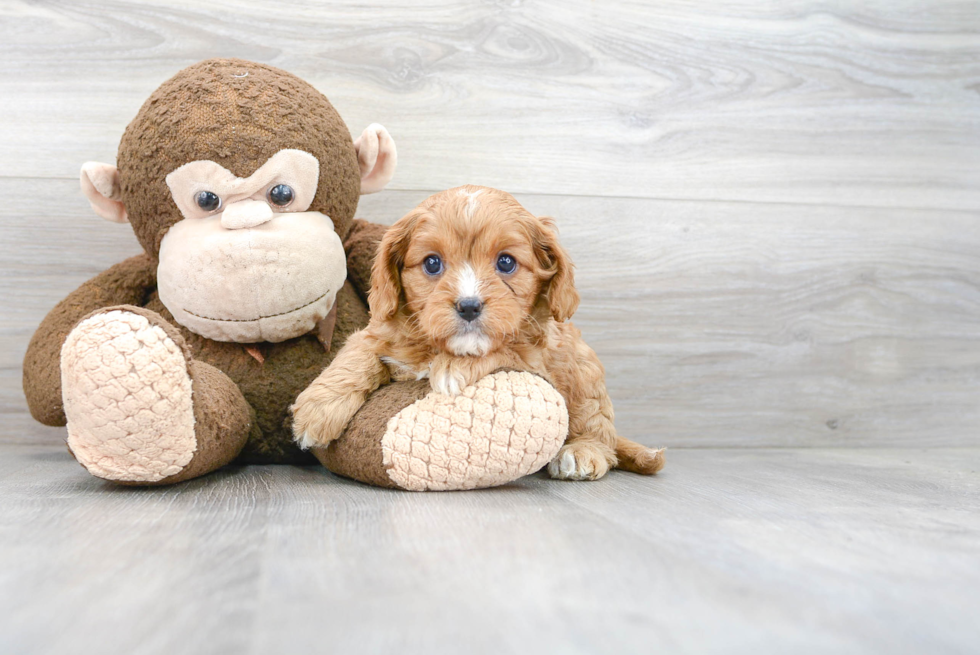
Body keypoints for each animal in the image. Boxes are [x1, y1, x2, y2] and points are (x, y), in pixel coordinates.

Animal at [288, 186, 664, 482]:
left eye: (506, 262)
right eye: (432, 263)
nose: (469, 306)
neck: (435, 347)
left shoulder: (532, 356)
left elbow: (498, 350)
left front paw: (453, 367)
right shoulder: (380, 329)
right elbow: (357, 351)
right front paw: (316, 411)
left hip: (583, 370)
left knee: (598, 426)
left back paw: (584, 453)